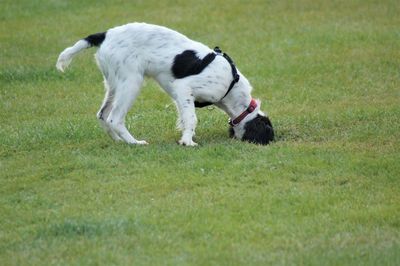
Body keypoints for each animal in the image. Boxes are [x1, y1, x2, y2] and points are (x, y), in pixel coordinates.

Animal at [56, 23, 274, 147]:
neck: (232, 87)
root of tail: (105, 34)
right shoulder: (183, 87)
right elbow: (192, 119)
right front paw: (188, 142)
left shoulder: (181, 97)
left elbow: (185, 118)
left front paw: (185, 137)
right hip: (131, 82)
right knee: (114, 118)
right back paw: (134, 143)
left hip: (113, 84)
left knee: (102, 115)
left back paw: (118, 141)